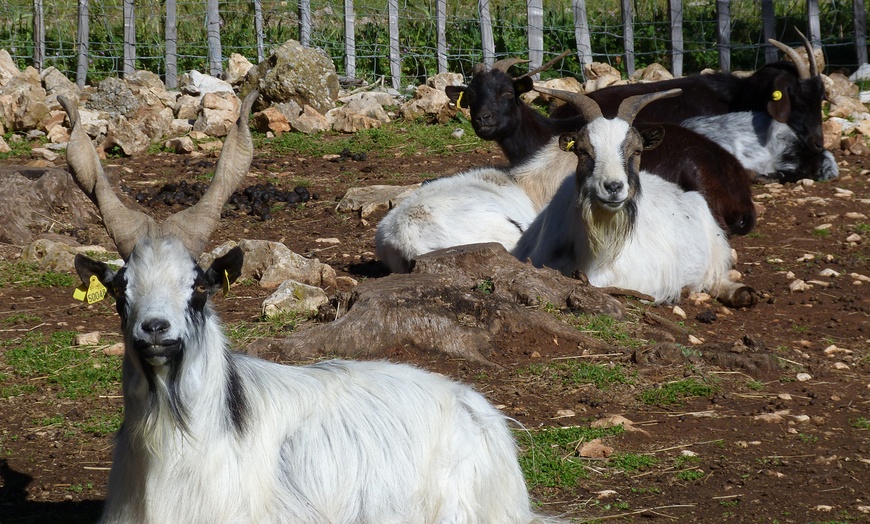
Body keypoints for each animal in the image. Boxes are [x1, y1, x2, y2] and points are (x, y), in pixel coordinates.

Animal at [516, 85, 760, 308]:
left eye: (637, 151)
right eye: (583, 151)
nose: (613, 187)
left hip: (716, 242)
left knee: (717, 275)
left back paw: (740, 293)